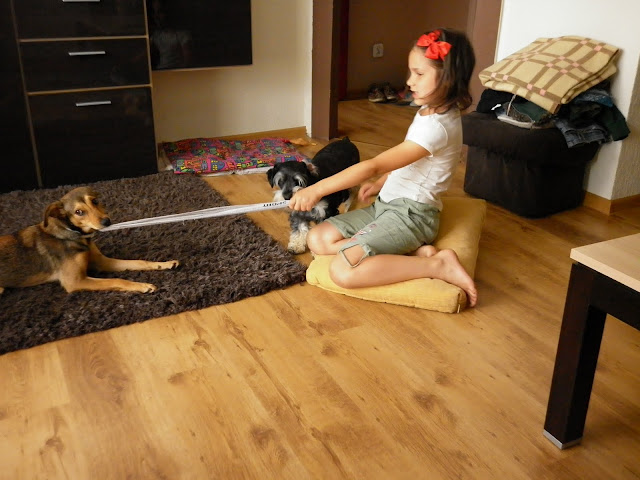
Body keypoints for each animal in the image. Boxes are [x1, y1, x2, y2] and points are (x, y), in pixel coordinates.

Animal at [0, 187, 179, 295]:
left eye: (95, 201)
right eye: (78, 212)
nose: (107, 221)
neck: (73, 234)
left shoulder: (101, 262)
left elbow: (139, 262)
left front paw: (164, 264)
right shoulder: (75, 281)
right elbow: (116, 279)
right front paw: (143, 286)